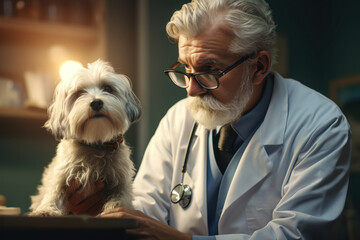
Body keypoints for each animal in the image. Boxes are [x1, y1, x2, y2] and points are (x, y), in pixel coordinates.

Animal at [29, 59, 141, 216]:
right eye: (79, 93)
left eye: (108, 88)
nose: (96, 102)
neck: (95, 144)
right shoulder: (61, 175)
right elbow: (54, 192)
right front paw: (46, 209)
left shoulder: (121, 182)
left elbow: (120, 199)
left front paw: (114, 210)